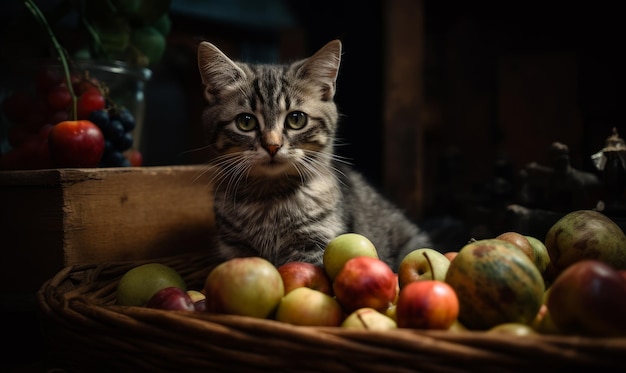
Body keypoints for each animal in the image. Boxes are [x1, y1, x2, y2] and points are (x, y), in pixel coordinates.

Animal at [196, 39, 428, 268]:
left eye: (296, 119)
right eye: (245, 122)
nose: (272, 146)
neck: (270, 197)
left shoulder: (314, 244)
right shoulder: (233, 246)